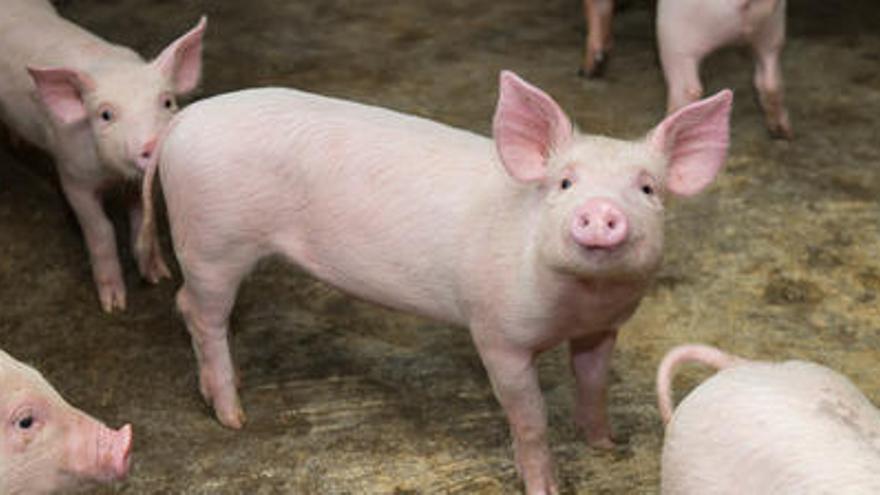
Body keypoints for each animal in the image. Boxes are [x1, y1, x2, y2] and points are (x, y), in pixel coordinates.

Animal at [0, 0, 207, 312]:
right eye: (106, 115)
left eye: (168, 101)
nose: (153, 142)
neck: (112, 176)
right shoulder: (73, 176)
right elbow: (101, 231)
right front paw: (114, 306)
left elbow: (141, 217)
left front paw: (158, 276)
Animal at [141, 71, 732, 494]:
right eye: (564, 183)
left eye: (648, 189)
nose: (602, 211)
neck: (578, 303)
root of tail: (182, 121)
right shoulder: (497, 334)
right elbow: (531, 418)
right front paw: (546, 487)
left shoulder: (604, 327)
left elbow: (593, 383)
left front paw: (606, 444)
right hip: (212, 242)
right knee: (196, 310)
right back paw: (233, 417)